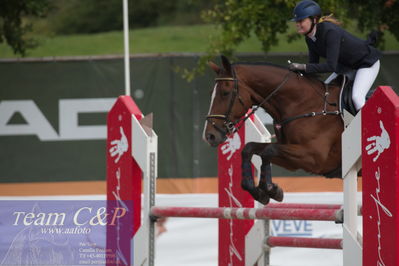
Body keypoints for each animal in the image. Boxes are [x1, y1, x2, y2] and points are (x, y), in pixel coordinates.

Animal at [203, 55, 344, 205]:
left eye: (225, 93)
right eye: (211, 93)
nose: (210, 136)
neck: (305, 105)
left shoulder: (313, 157)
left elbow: (267, 151)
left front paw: (270, 189)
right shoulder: (293, 161)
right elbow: (249, 148)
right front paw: (259, 192)